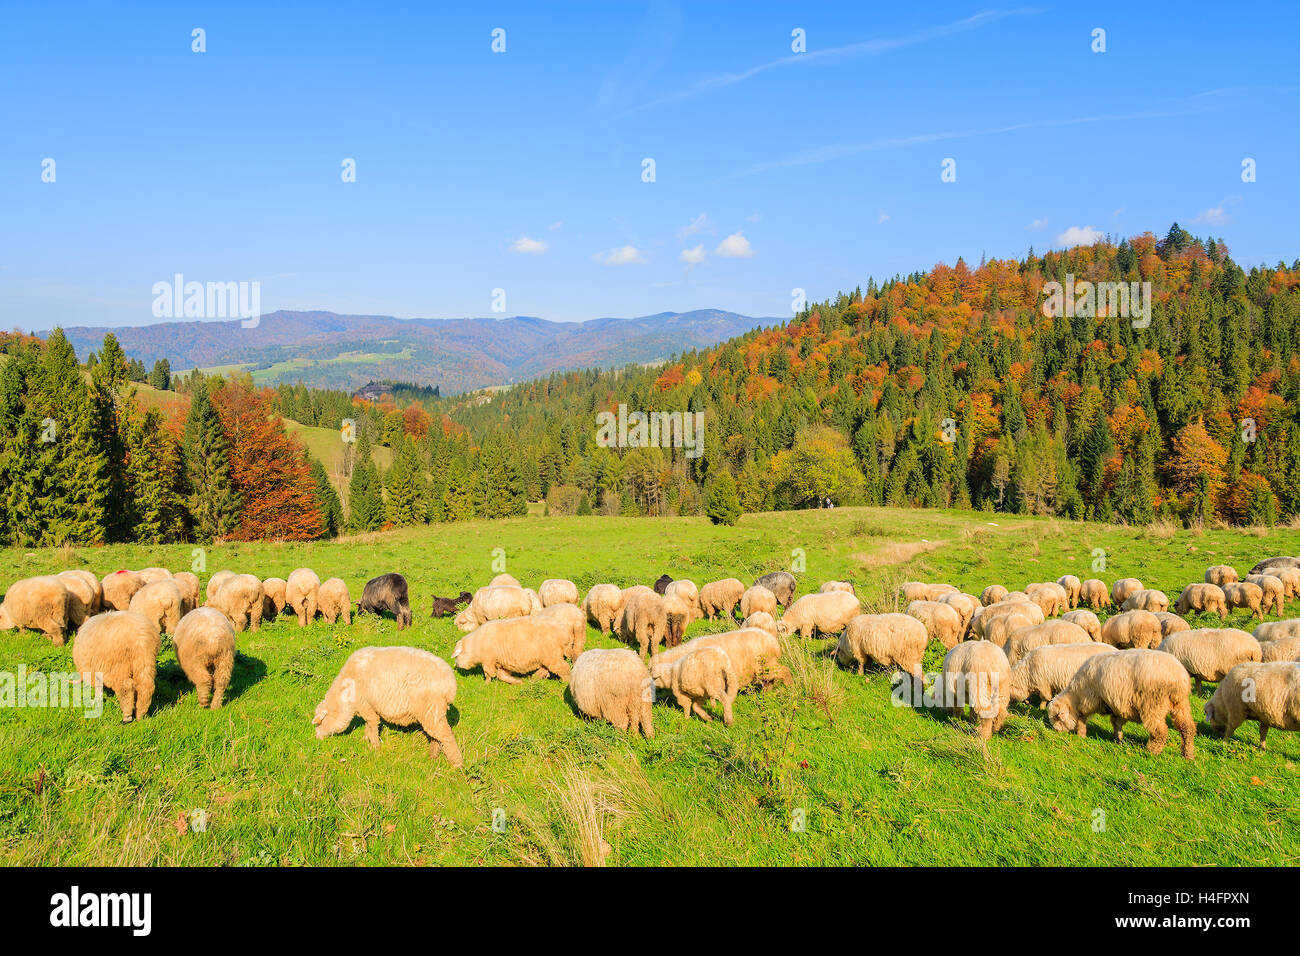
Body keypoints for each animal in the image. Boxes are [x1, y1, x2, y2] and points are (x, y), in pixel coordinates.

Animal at [312, 647, 460, 764]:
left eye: (320, 722)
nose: (316, 738)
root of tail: (451, 685)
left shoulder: (365, 705)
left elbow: (372, 724)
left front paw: (374, 747)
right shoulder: (369, 707)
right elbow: (369, 725)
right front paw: (366, 739)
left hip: (431, 709)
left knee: (446, 736)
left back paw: (457, 764)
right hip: (433, 713)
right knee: (436, 737)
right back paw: (433, 757)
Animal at [1045, 647, 1196, 759]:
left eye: (1057, 718)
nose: (1056, 732)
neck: (1075, 695)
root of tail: (1178, 675)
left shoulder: (1089, 701)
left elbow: (1082, 719)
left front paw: (1081, 735)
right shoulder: (1116, 705)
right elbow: (1116, 722)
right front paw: (1117, 740)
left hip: (1153, 704)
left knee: (1160, 731)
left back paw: (1152, 751)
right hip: (1180, 704)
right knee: (1187, 728)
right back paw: (1187, 754)